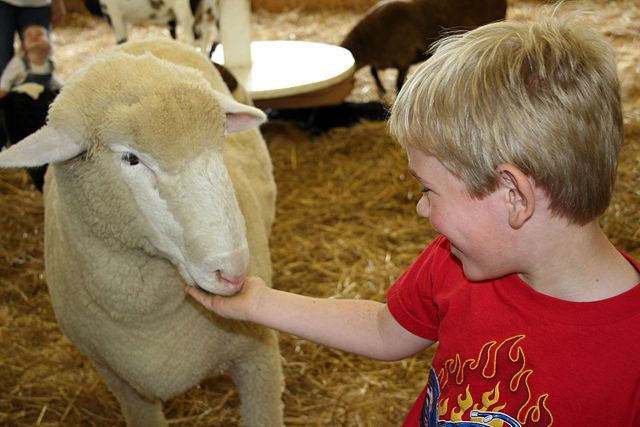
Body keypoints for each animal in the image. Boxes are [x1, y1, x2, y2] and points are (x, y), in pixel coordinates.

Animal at [0, 37, 282, 427]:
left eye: (220, 143)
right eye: (131, 158)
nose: (233, 273)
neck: (152, 324)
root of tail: (142, 40)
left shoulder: (258, 357)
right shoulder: (121, 381)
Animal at [83, 0, 220, 53]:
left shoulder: (115, 15)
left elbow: (122, 42)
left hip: (186, 11)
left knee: (194, 38)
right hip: (200, 12)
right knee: (205, 33)